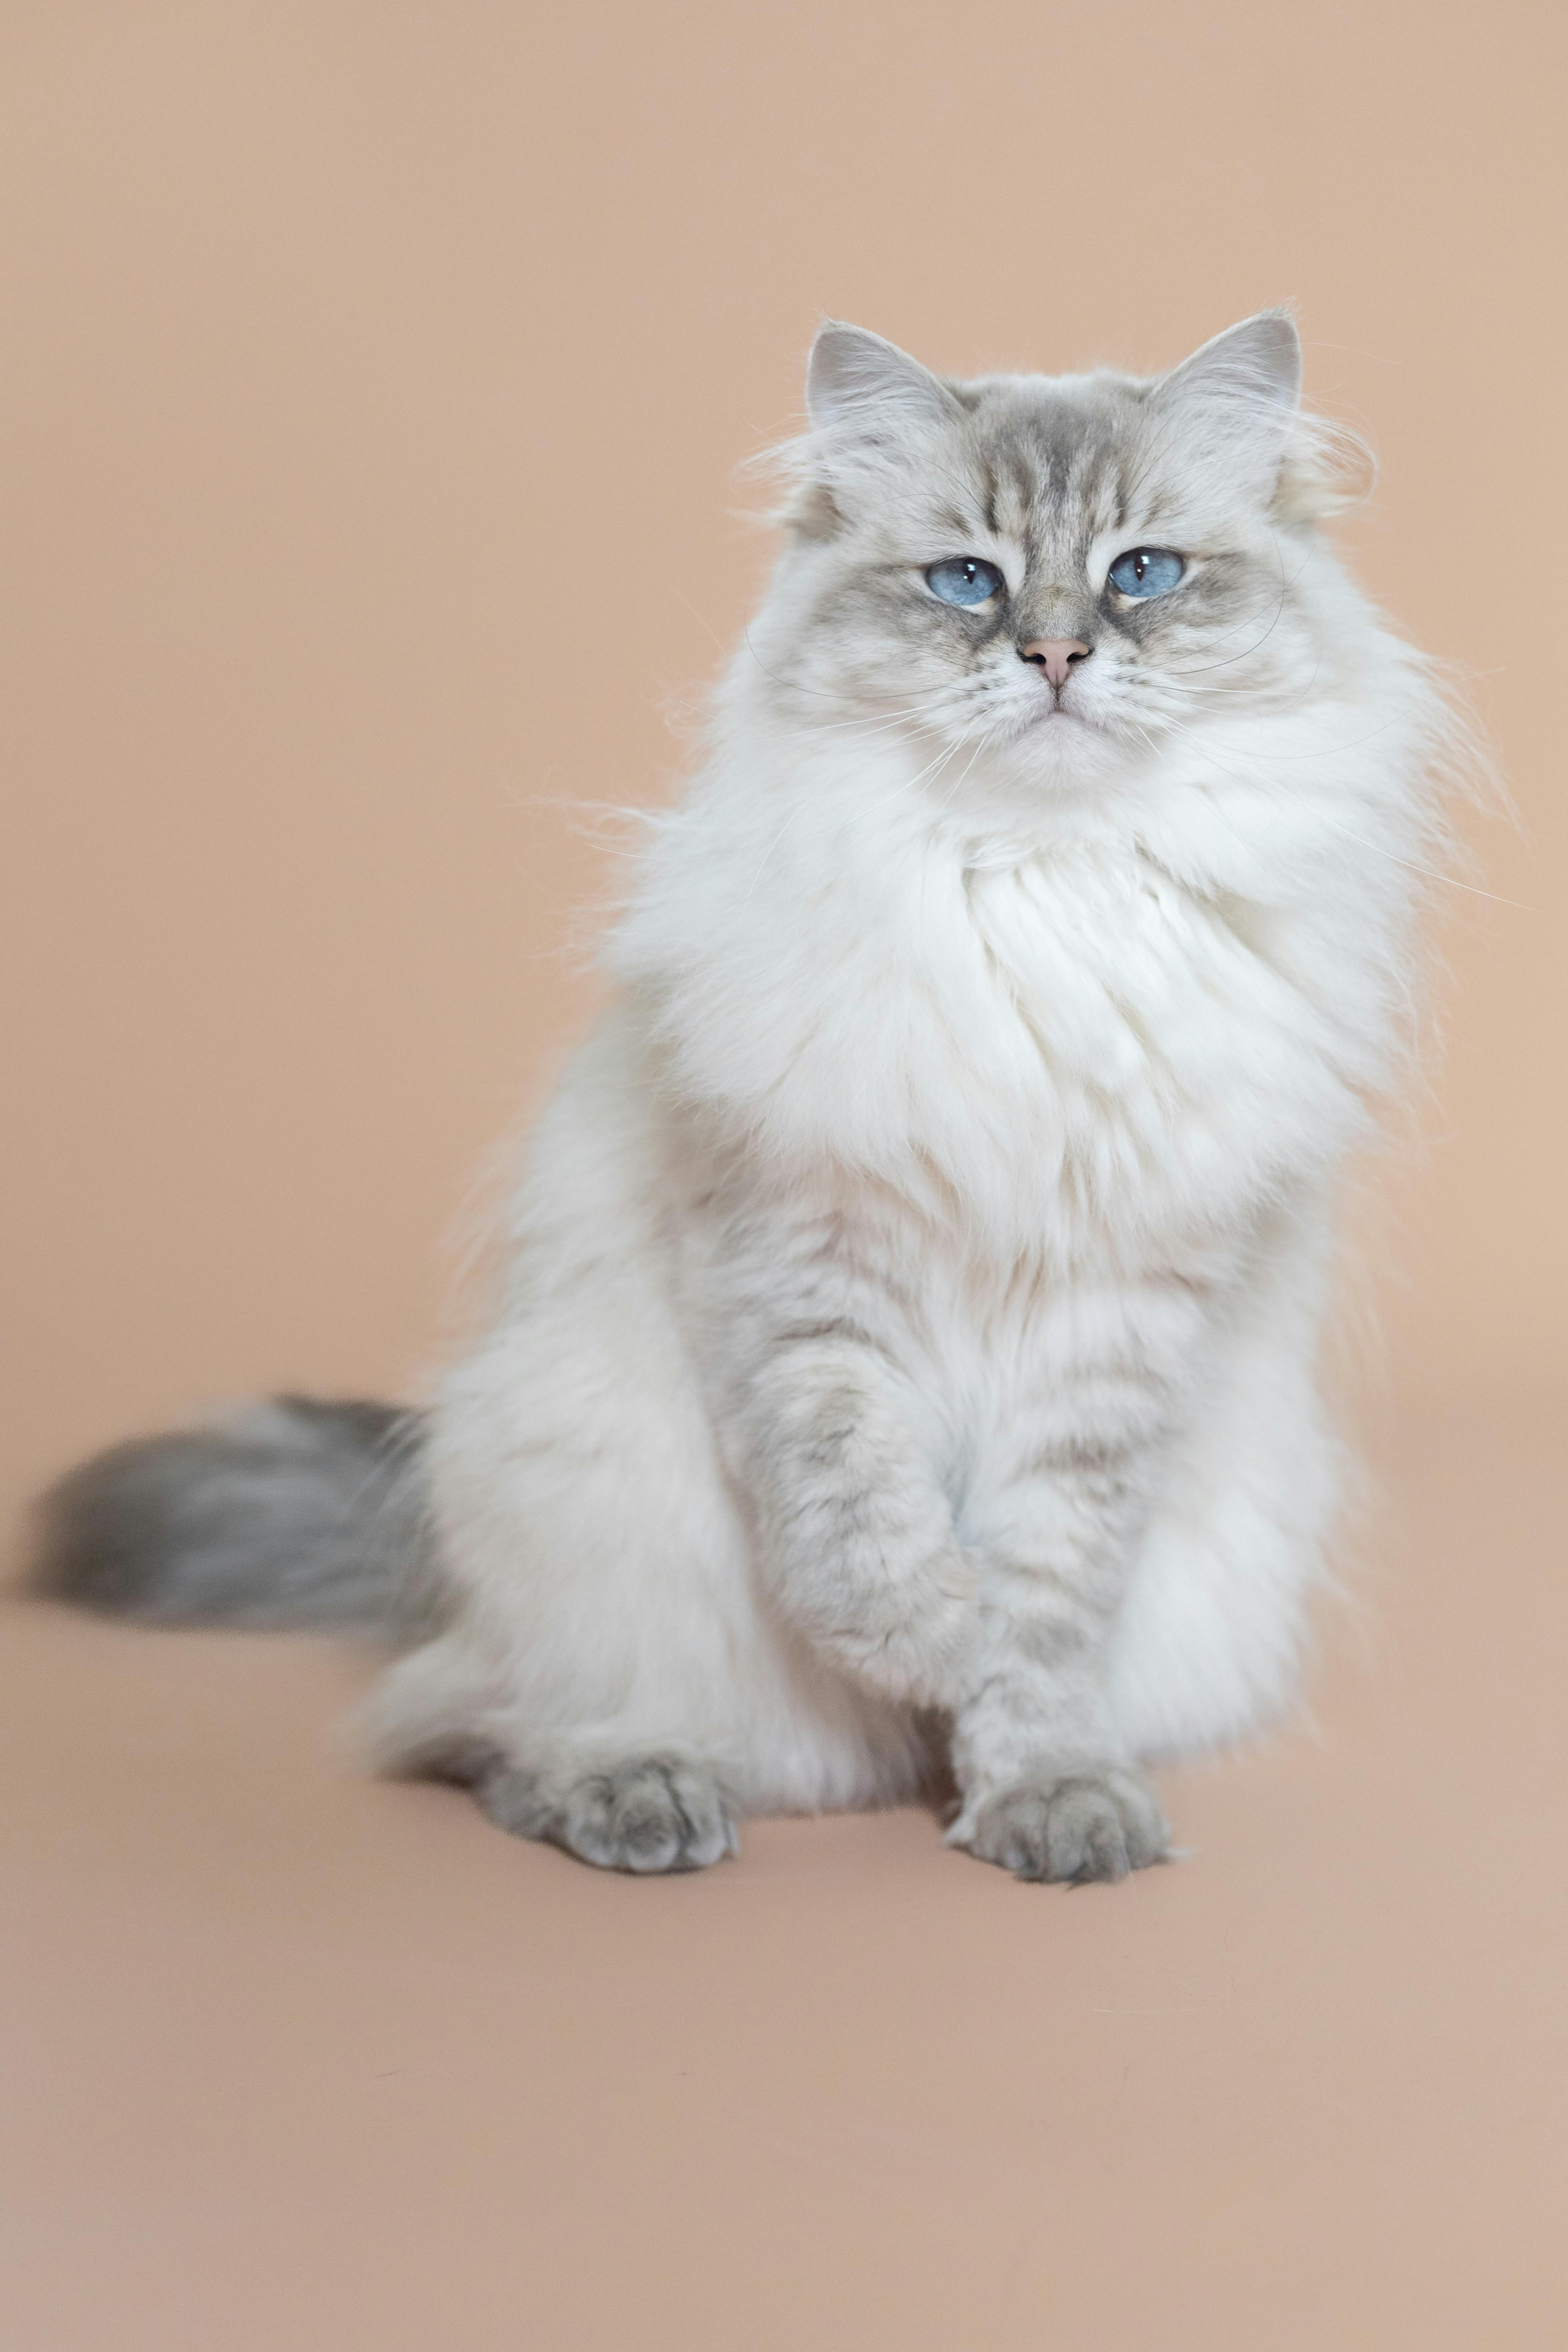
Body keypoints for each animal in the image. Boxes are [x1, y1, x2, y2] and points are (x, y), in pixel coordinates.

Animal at [31, 317, 1467, 1891]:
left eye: (1142, 571)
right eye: (967, 580)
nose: (1055, 654)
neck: (1045, 882)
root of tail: (428, 1571)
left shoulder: (1119, 1329)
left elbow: (1044, 1615)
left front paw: (1042, 1789)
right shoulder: (803, 1262)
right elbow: (859, 1521)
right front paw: (931, 1638)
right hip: (596, 1511)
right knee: (475, 1731)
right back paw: (644, 1791)